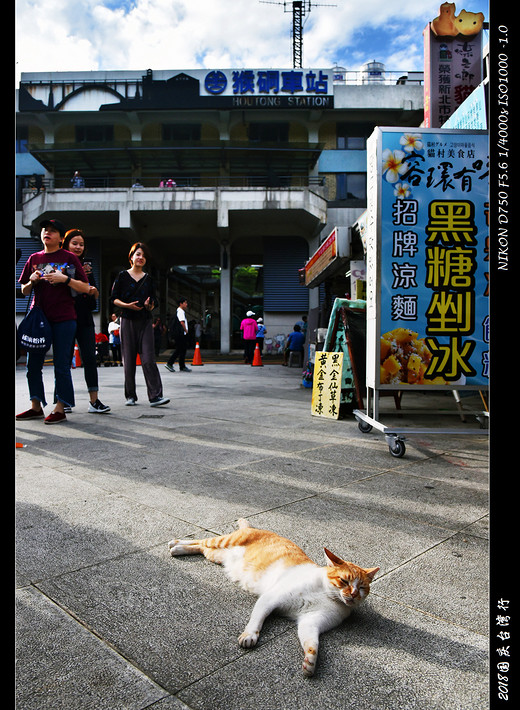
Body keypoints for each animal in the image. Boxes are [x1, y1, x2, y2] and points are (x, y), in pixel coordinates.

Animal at [170, 516, 378, 680]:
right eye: (344, 580)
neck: (326, 595)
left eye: (362, 587)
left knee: (200, 547)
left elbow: (311, 642)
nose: (353, 594)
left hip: (216, 555)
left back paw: (179, 549)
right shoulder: (271, 598)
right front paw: (250, 635)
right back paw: (176, 545)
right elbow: (257, 619)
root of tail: (254, 528)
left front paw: (310, 661)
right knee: (202, 540)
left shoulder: (312, 622)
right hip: (223, 541)